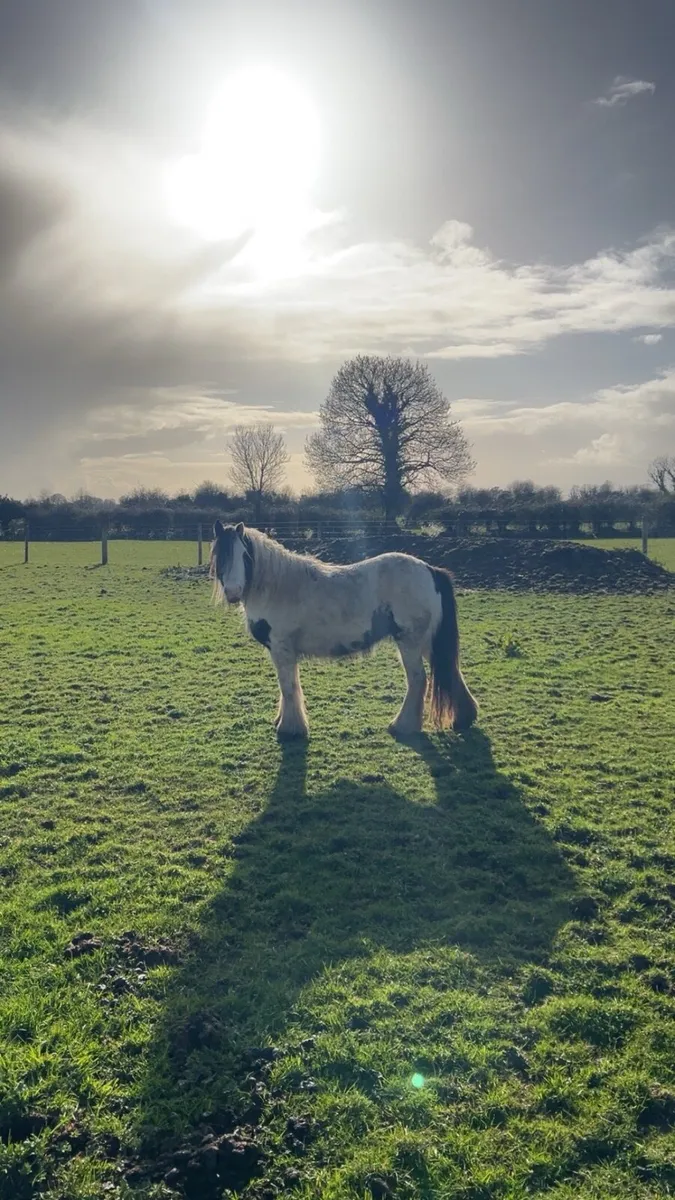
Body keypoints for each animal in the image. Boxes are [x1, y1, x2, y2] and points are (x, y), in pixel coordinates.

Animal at [210, 521, 478, 740]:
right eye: (221, 555)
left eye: (245, 555)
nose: (233, 592)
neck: (277, 588)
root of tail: (431, 570)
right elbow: (287, 687)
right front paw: (283, 721)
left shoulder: (282, 648)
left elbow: (288, 686)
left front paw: (290, 729)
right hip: (428, 642)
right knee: (450, 670)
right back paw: (463, 719)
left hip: (410, 642)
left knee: (418, 680)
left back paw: (402, 726)